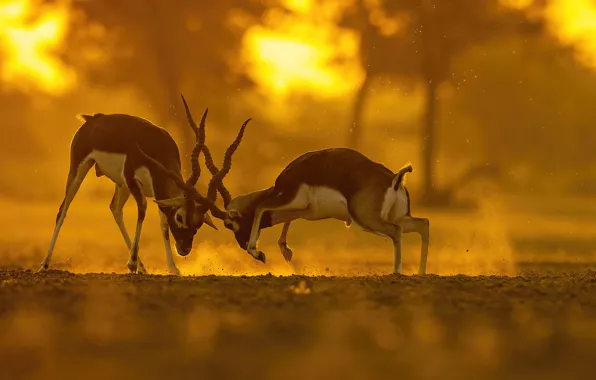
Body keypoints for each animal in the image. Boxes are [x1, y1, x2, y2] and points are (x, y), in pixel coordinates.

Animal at [40, 94, 249, 274]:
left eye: (198, 222)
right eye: (180, 217)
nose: (184, 248)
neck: (157, 147)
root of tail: (92, 119)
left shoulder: (158, 192)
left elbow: (163, 224)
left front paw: (173, 268)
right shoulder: (133, 179)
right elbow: (142, 209)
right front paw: (131, 263)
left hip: (121, 185)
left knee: (115, 209)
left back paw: (143, 267)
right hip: (80, 169)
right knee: (63, 209)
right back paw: (44, 265)